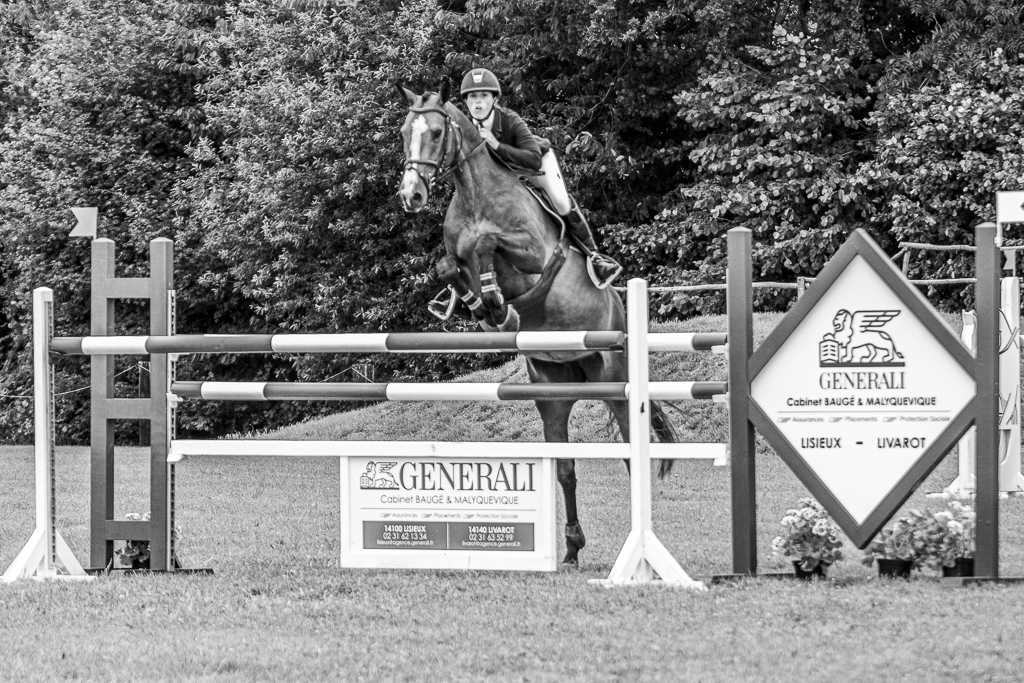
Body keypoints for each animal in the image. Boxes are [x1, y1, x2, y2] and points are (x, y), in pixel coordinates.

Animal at [396, 82, 678, 564]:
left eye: (435, 132)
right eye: (402, 133)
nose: (410, 196)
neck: (475, 194)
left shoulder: (531, 254)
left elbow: (489, 245)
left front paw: (497, 305)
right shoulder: (455, 258)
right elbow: (448, 266)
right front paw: (479, 305)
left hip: (615, 380)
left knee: (628, 453)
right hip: (551, 389)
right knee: (565, 467)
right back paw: (572, 549)